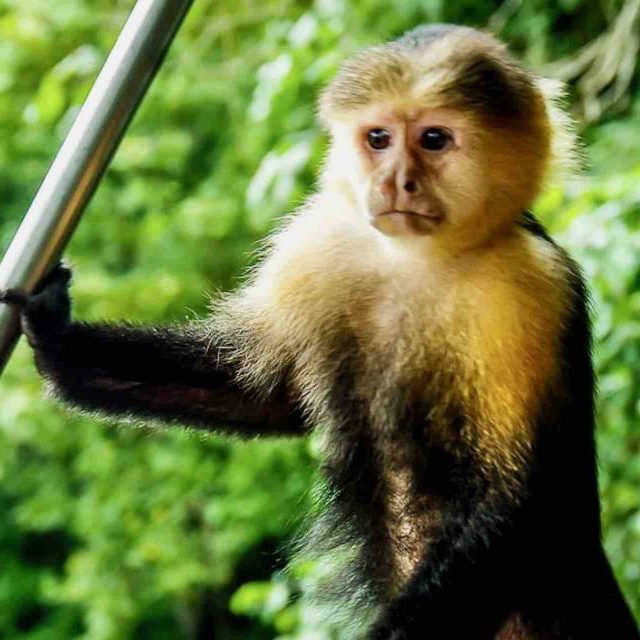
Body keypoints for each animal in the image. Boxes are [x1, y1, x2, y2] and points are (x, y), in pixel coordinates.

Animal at [2, 24, 639, 640]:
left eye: (434, 139)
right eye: (379, 139)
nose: (397, 182)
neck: (418, 261)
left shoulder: (530, 285)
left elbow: (519, 497)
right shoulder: (319, 239)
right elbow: (263, 393)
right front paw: (57, 341)